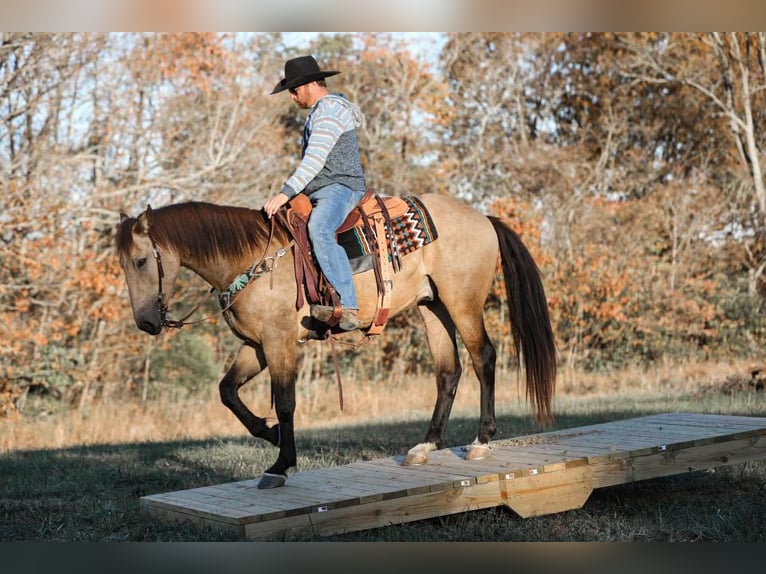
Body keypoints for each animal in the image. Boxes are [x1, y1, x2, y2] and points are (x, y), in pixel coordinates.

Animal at [115, 194, 560, 490]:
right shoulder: (256, 345)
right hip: (433, 307)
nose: (147, 322)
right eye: (122, 264)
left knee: (484, 357)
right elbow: (227, 391)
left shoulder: (279, 342)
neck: (251, 259)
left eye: (141, 260)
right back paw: (426, 446)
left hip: (462, 303)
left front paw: (281, 463)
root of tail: (482, 218)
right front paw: (270, 433)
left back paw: (481, 442)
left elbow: (286, 402)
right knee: (448, 372)